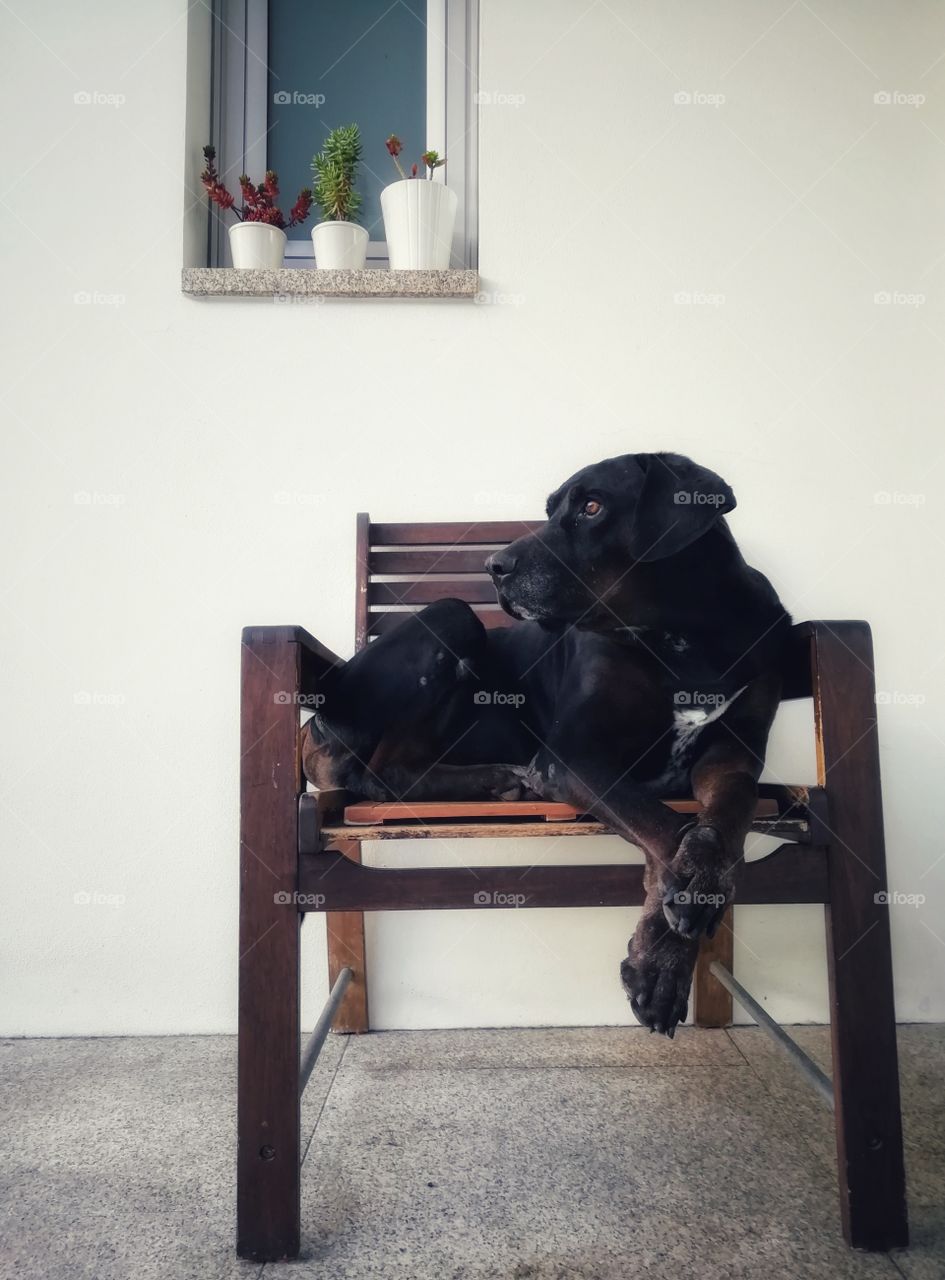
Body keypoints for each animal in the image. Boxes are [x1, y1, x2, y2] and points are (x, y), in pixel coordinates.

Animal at [303, 455, 788, 1034]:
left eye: (592, 506)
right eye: (552, 508)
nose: (494, 565)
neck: (681, 634)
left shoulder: (732, 755)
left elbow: (723, 817)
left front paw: (666, 943)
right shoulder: (572, 757)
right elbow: (663, 827)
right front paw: (667, 948)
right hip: (449, 615)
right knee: (378, 773)